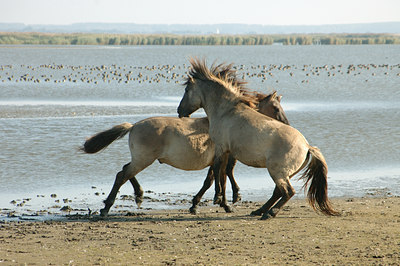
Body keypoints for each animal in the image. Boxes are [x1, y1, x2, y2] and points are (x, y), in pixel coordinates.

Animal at [81, 66, 290, 216]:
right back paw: (106, 208)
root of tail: (133, 126)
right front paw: (219, 203)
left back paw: (138, 195)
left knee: (125, 170)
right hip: (143, 159)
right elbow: (216, 179)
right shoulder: (221, 158)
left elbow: (216, 179)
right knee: (121, 175)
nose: (287, 125)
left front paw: (209, 203)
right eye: (275, 108)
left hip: (140, 159)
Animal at [178, 58, 338, 220]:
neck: (226, 111)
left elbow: (217, 170)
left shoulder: (221, 147)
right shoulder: (227, 151)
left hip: (277, 172)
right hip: (285, 174)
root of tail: (307, 146)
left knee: (288, 192)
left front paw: (218, 198)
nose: (180, 111)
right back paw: (259, 210)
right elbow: (223, 173)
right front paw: (226, 199)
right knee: (278, 192)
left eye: (186, 90)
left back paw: (269, 213)